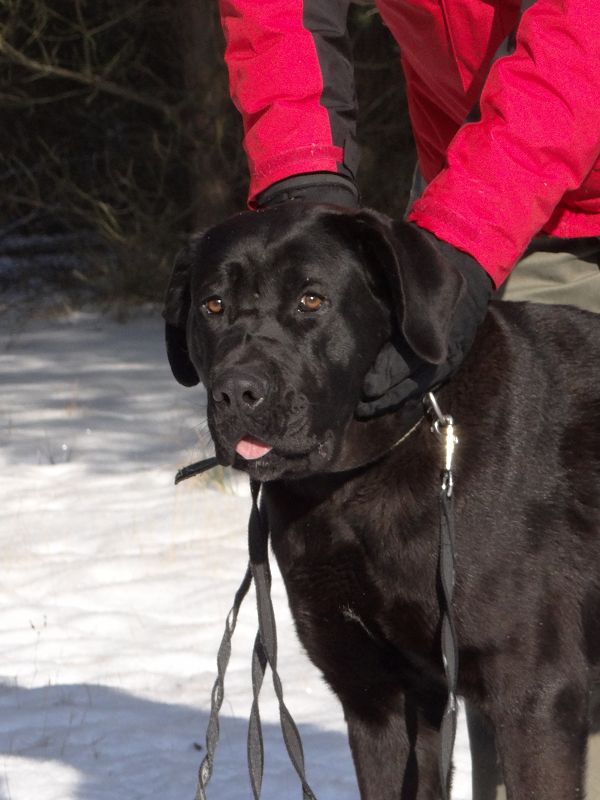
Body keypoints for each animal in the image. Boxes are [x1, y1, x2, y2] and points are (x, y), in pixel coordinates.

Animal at [164, 203, 600, 799]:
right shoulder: (378, 695)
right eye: (213, 305)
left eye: (311, 300)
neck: (349, 490)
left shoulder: (535, 693)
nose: (237, 392)